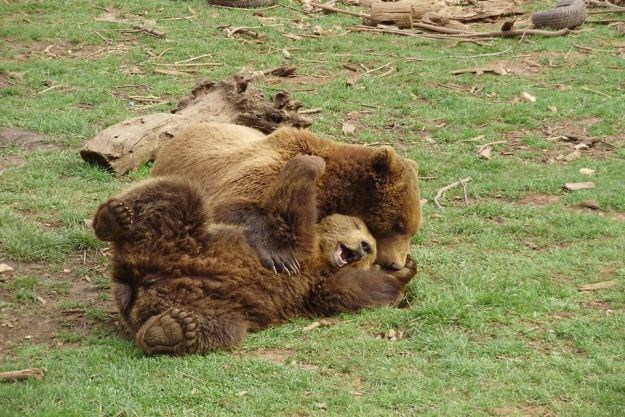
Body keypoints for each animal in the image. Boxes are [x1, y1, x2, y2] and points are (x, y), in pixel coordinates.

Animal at [92, 172, 414, 354]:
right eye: (358, 226)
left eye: (371, 249)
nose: (364, 246)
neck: (319, 257)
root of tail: (135, 278)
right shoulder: (294, 245)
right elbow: (288, 215)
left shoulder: (317, 286)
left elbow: (351, 291)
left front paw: (404, 271)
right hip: (181, 236)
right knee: (177, 193)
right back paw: (114, 217)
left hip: (216, 303)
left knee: (223, 327)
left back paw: (171, 329)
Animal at [151, 122, 420, 274]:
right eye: (399, 225)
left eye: (412, 230)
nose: (396, 263)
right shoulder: (267, 171)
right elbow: (230, 207)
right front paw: (281, 258)